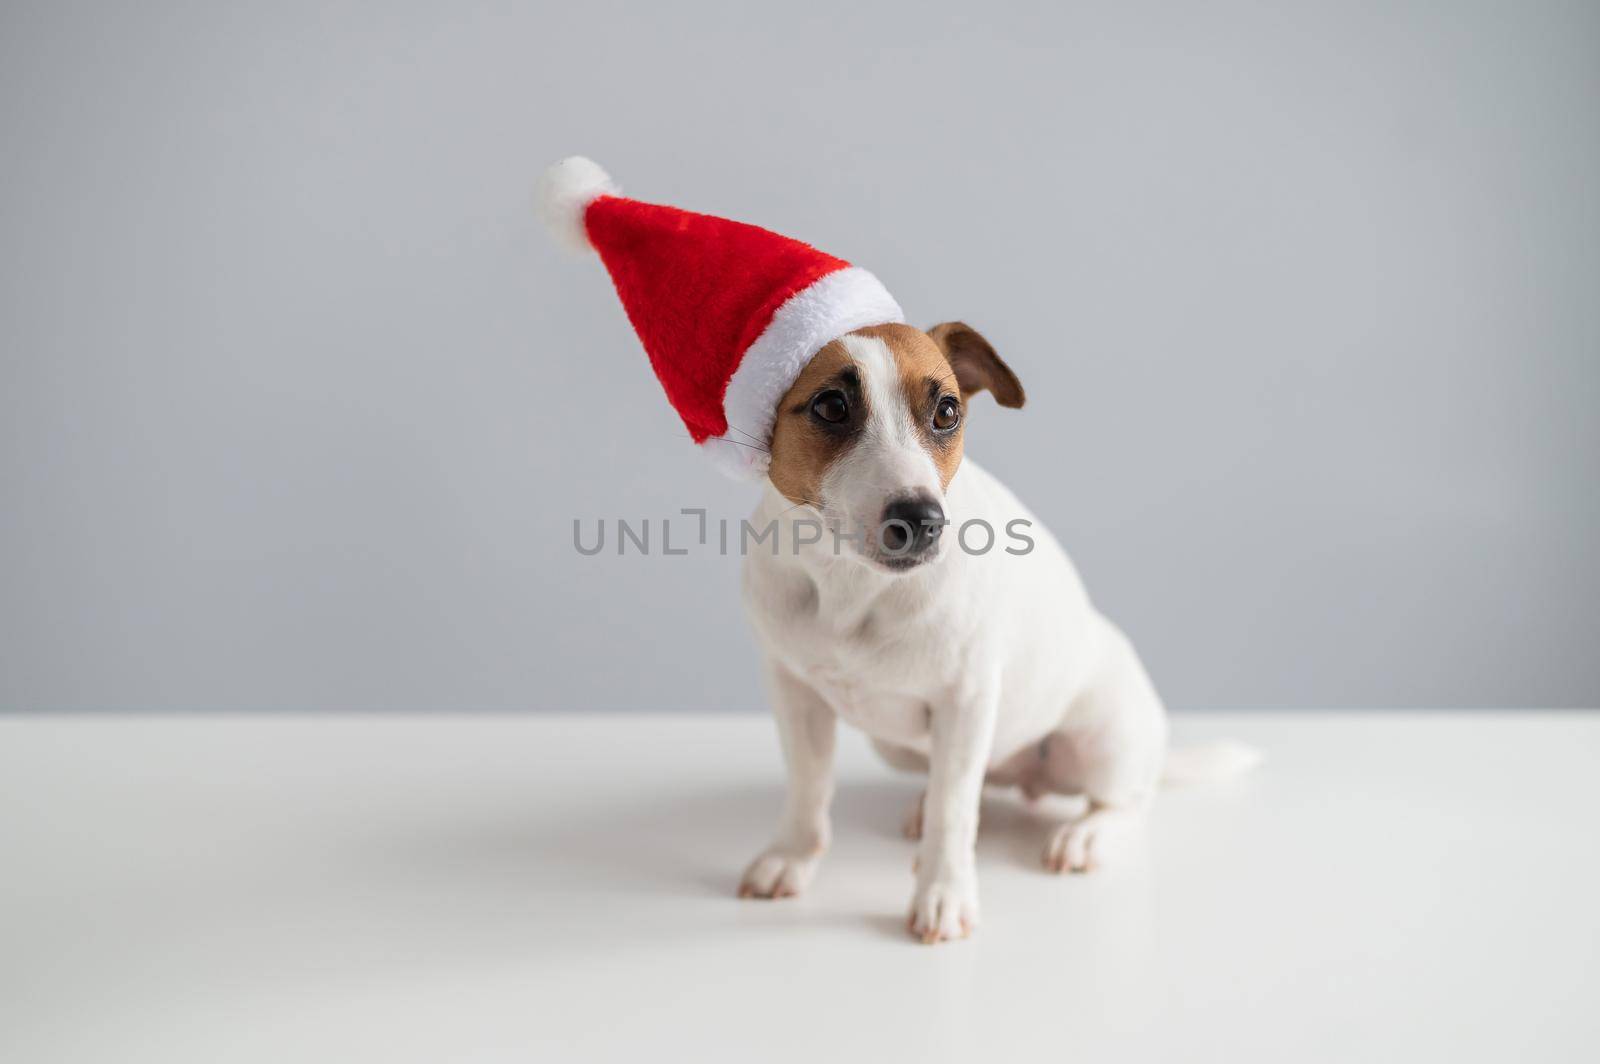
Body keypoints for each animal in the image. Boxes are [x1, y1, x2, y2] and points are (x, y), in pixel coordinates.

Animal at [732, 320, 1254, 940]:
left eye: (947, 412)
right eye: (831, 405)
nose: (922, 520)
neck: (850, 584)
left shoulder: (967, 699)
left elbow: (954, 813)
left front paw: (944, 892)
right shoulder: (795, 693)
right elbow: (809, 787)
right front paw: (791, 856)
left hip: (1105, 741)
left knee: (1127, 801)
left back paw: (1086, 834)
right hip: (901, 748)